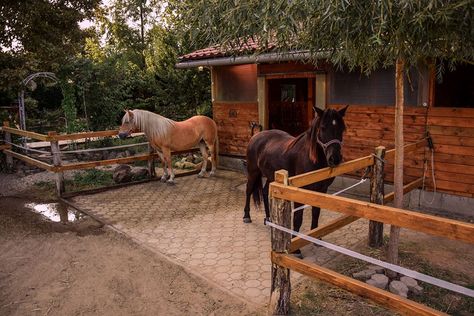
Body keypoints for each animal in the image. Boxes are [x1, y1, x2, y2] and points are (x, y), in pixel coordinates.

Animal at [244, 106, 348, 249]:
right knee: (248, 190)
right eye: (323, 127)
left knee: (265, 192)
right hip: (253, 172)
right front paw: (295, 246)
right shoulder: (299, 191)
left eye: (341, 128)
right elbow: (298, 217)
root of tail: (256, 136)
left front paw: (316, 239)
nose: (335, 159)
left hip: (272, 176)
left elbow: (316, 213)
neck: (310, 157)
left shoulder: (321, 189)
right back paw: (246, 216)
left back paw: (270, 219)